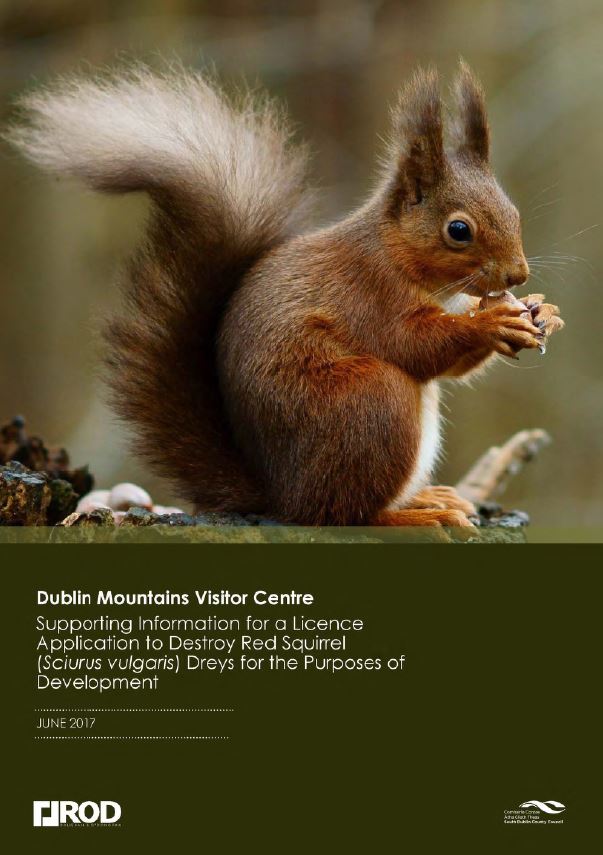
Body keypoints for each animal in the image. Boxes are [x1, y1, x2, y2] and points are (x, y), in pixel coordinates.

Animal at [6, 61, 564, 528]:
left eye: (512, 210)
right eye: (458, 230)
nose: (518, 275)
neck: (400, 257)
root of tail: (281, 496)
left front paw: (542, 311)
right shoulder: (368, 294)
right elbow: (414, 345)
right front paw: (492, 323)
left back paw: (428, 497)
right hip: (371, 402)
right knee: (343, 512)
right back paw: (411, 516)